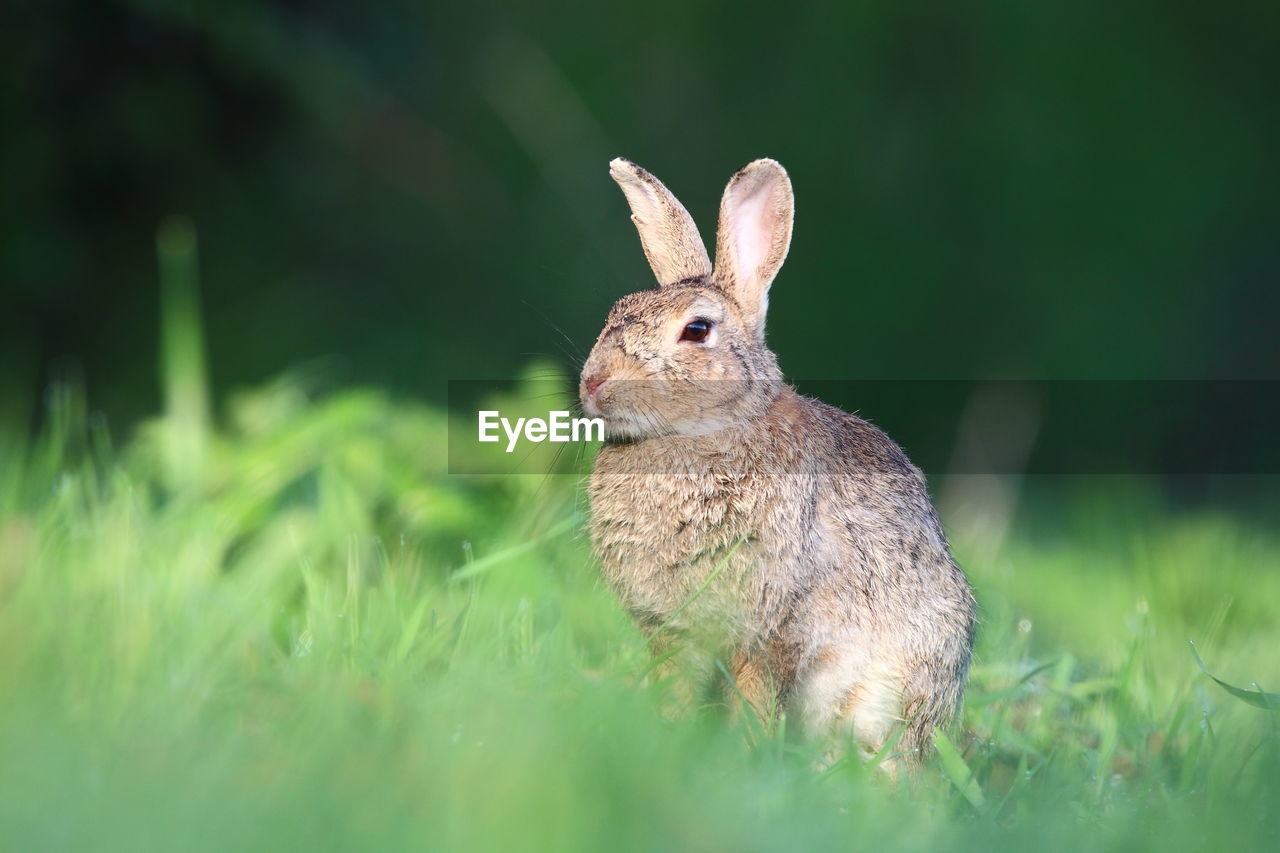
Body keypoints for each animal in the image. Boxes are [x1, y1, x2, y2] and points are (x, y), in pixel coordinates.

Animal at [581, 157, 977, 758]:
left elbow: (755, 698)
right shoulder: (673, 632)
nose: (593, 382)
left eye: (697, 330)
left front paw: (744, 758)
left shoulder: (773, 629)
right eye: (615, 312)